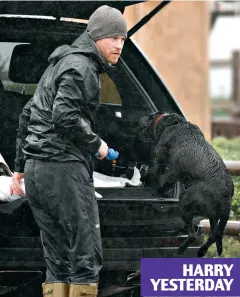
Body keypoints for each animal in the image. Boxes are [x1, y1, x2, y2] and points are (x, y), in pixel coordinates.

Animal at [140, 112, 233, 256]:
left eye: (149, 117)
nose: (140, 119)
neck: (171, 123)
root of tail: (225, 195)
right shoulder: (175, 173)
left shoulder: (162, 161)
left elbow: (154, 173)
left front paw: (145, 180)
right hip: (213, 216)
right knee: (214, 235)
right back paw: (201, 251)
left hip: (184, 201)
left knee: (193, 235)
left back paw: (181, 249)